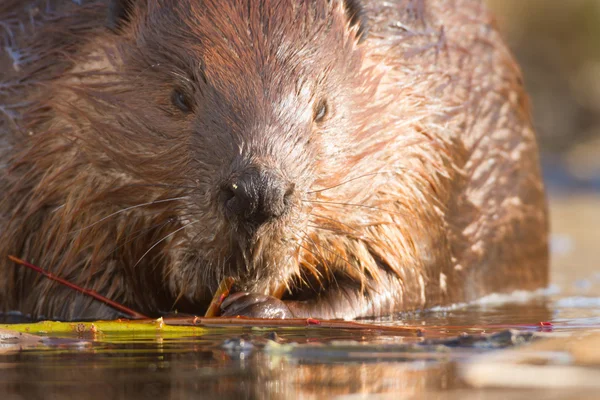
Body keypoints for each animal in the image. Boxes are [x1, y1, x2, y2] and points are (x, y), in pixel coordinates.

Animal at [0, 0, 548, 318]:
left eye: (322, 108)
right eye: (180, 97)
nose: (257, 192)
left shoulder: (420, 159)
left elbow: (393, 283)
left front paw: (258, 307)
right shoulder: (45, 165)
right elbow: (60, 287)